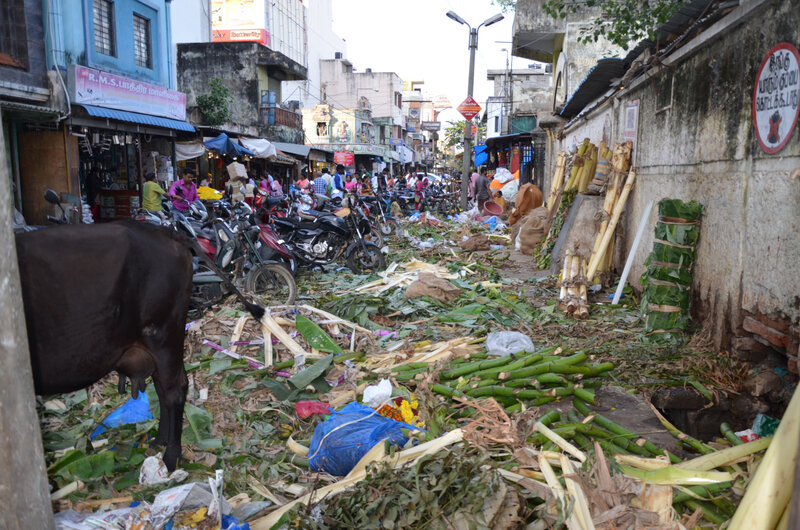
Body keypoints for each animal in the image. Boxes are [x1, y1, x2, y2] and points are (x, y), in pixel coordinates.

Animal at [14, 219, 262, 470]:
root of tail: (166, 232)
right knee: (163, 388)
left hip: (163, 335)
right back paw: (158, 441)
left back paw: (171, 458)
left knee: (174, 389)